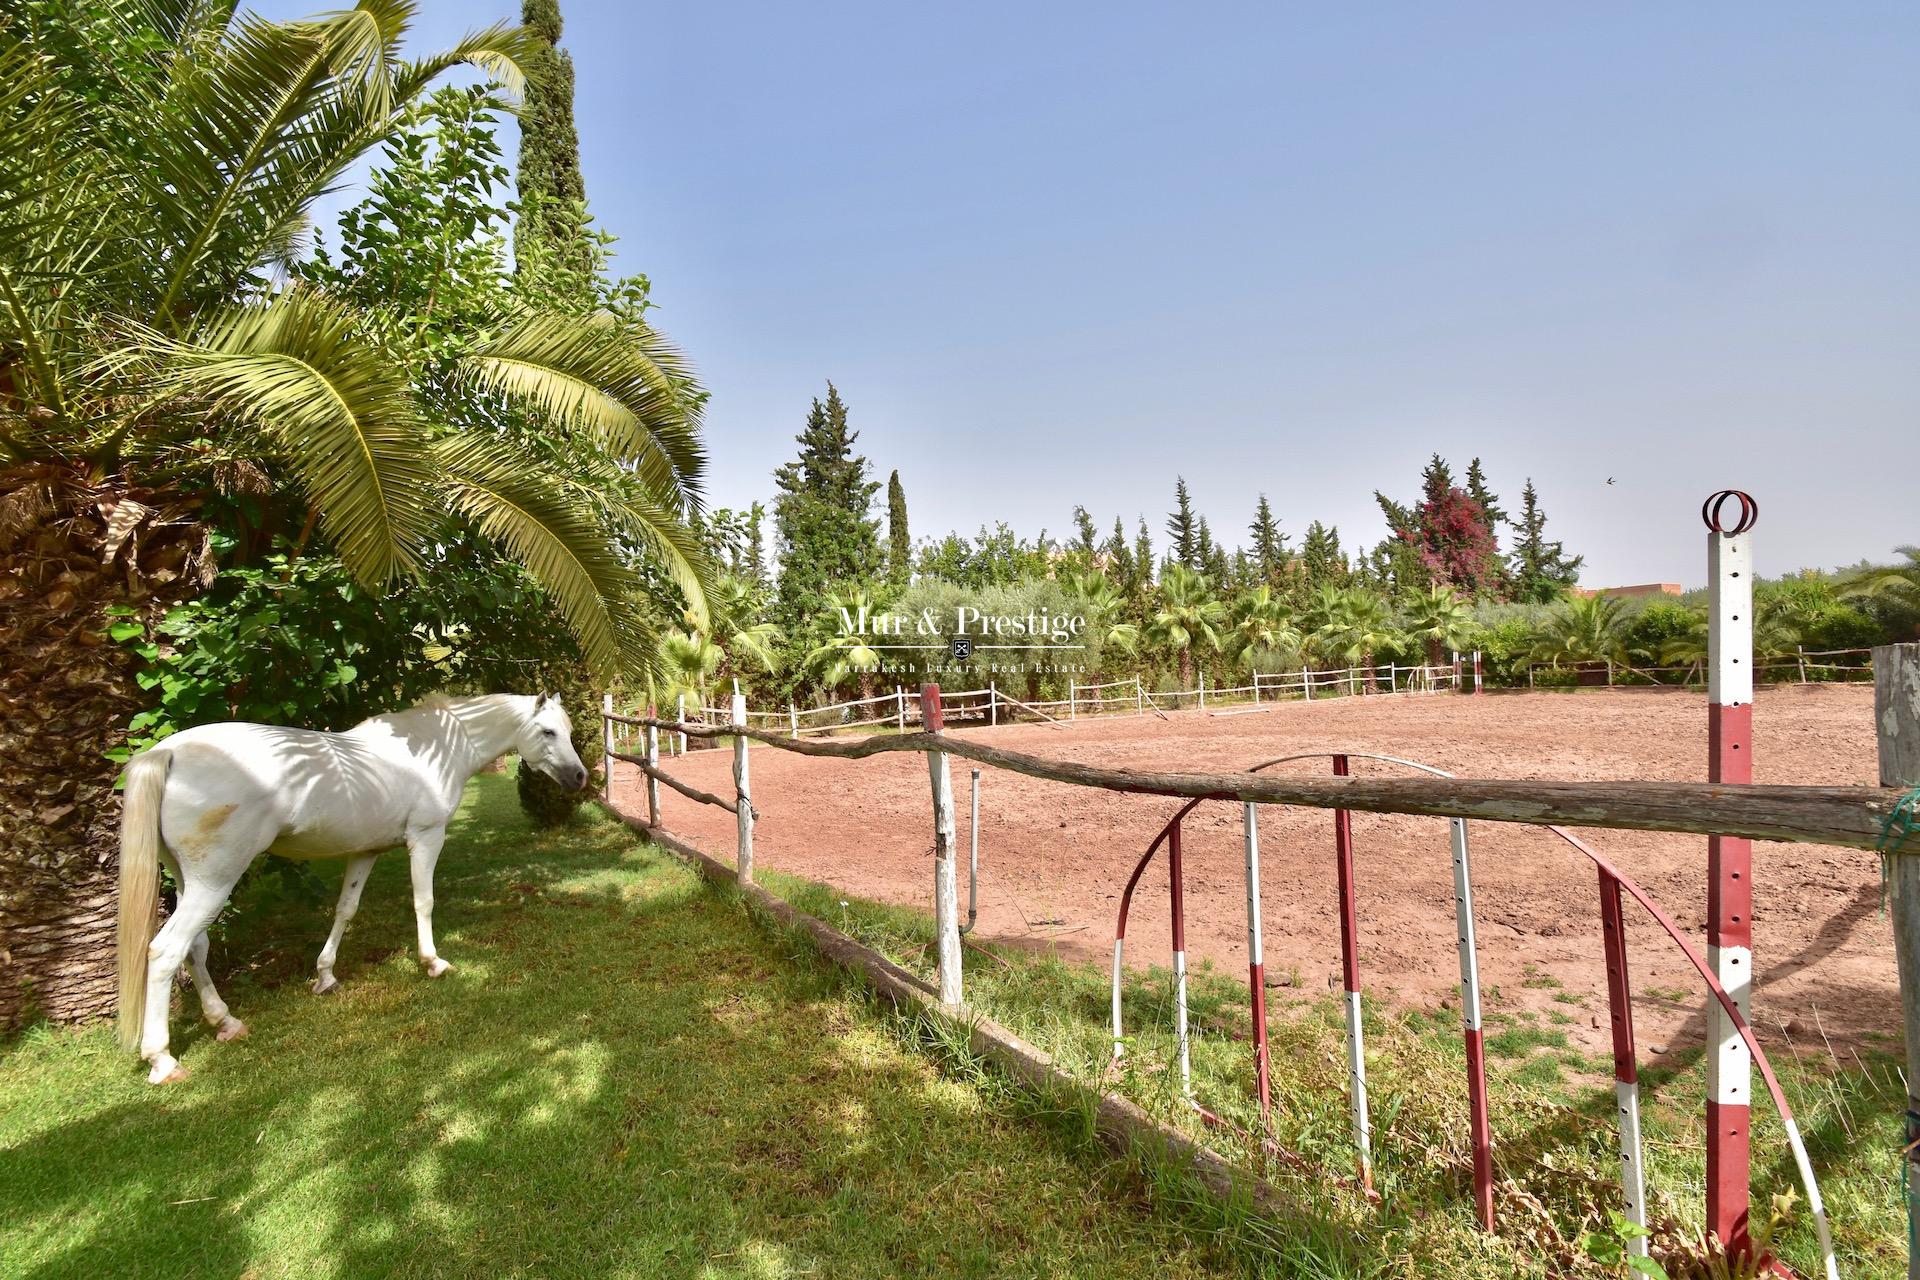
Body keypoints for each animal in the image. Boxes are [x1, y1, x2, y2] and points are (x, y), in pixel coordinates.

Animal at [115, 694, 583, 1090]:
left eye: (568, 730)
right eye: (548, 732)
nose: (579, 777)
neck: (433, 749)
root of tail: (168, 753)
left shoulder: (365, 852)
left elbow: (346, 909)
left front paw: (326, 975)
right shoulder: (426, 838)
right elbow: (423, 901)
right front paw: (432, 962)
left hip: (191, 881)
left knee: (195, 948)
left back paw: (225, 1022)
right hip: (214, 881)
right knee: (165, 952)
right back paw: (162, 1060)